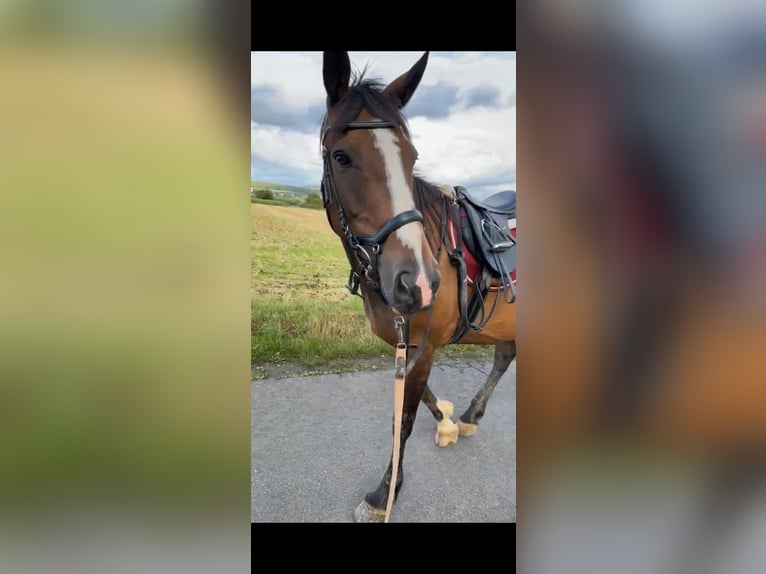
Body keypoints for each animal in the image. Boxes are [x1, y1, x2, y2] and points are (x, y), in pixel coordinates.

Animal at [319, 51, 516, 522]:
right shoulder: (406, 340)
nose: (421, 282)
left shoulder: (427, 343)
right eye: (341, 157)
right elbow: (418, 394)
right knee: (506, 355)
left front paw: (384, 492)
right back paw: (471, 415)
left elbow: (404, 415)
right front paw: (446, 420)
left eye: (411, 158)